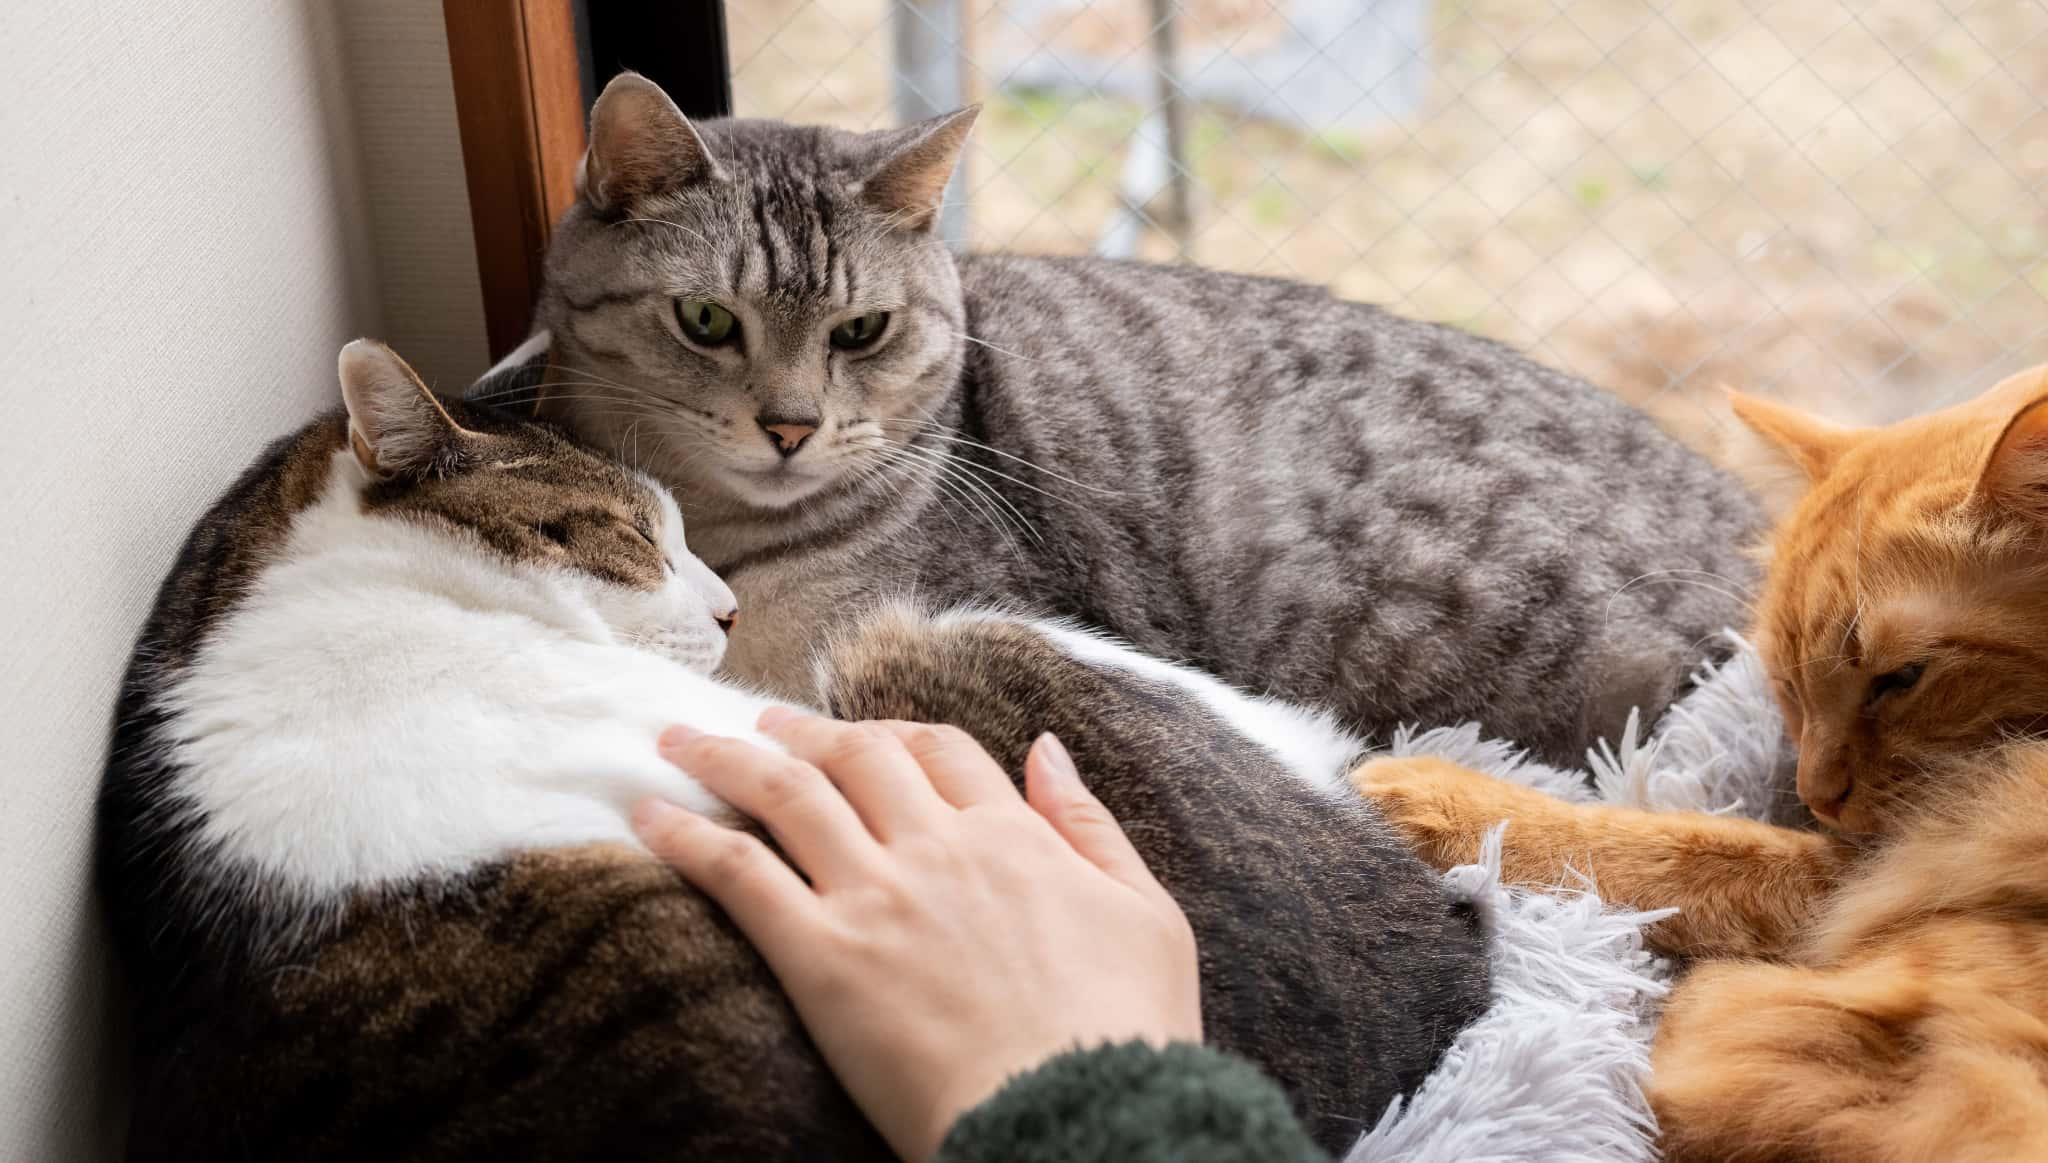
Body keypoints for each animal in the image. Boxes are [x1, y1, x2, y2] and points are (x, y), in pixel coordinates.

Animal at [1351, 366, 2048, 1163]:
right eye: (1787, 686)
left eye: (1902, 679)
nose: (1816, 794)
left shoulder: (1867, 878)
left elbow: (1682, 849)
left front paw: (1439, 793)